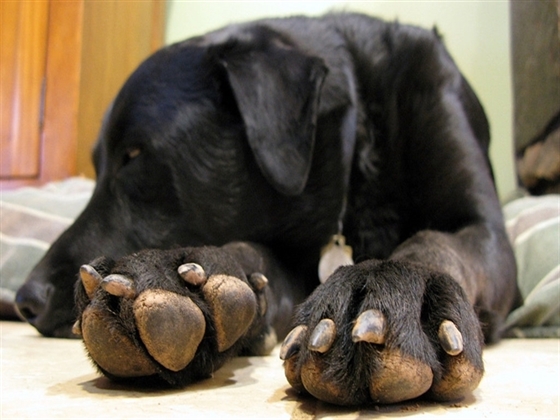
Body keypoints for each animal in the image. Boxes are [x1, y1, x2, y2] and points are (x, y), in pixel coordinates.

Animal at [15, 13, 520, 406]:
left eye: (134, 155)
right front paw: (179, 275)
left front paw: (392, 288)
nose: (25, 300)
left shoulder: (484, 232)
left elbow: (434, 242)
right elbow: (251, 255)